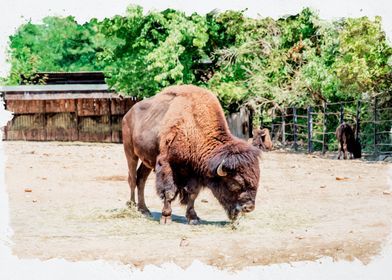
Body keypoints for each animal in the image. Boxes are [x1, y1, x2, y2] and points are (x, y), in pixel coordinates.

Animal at [122, 84, 262, 224]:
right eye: (234, 183)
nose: (249, 207)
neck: (194, 126)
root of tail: (127, 114)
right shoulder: (166, 164)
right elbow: (169, 191)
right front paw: (166, 217)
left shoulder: (195, 172)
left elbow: (192, 193)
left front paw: (193, 218)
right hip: (130, 153)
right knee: (132, 178)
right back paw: (132, 206)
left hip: (148, 160)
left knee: (141, 179)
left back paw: (144, 210)